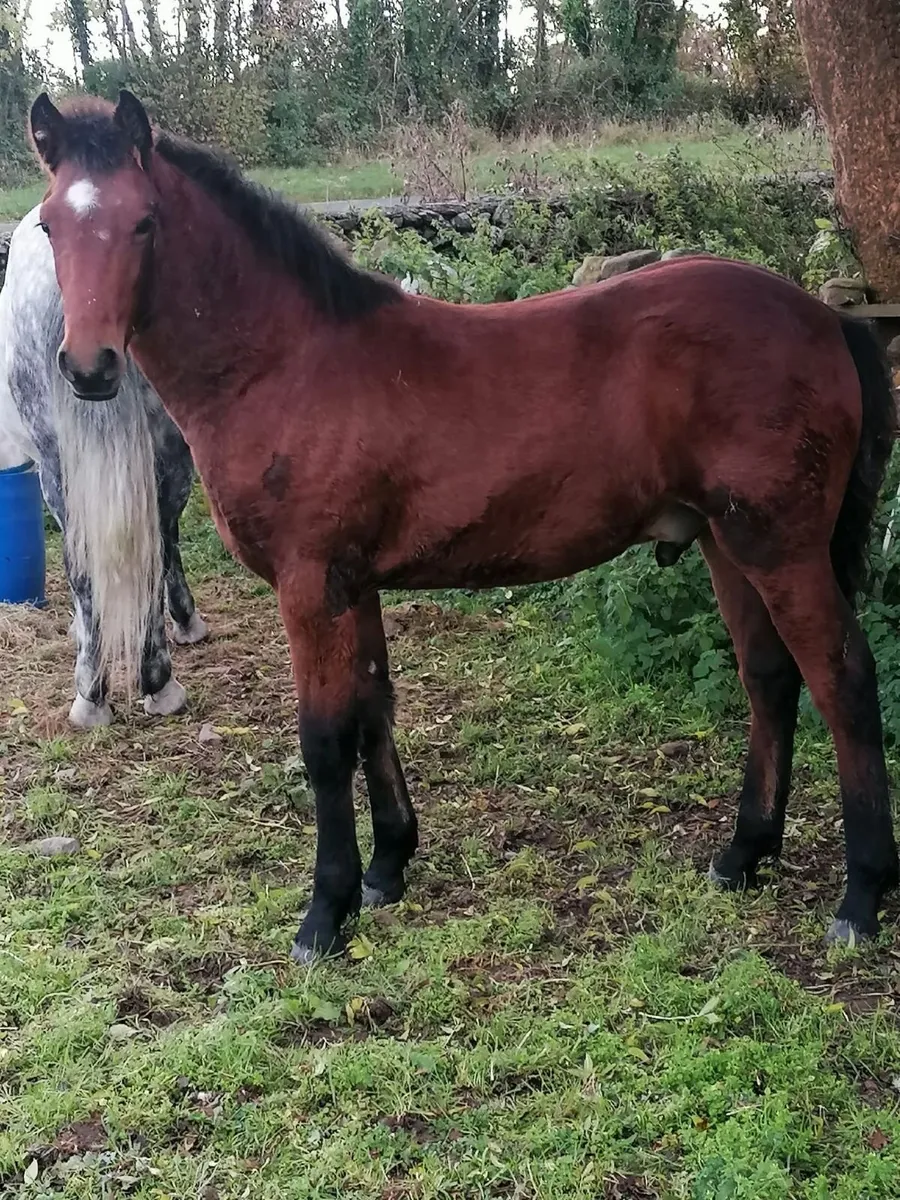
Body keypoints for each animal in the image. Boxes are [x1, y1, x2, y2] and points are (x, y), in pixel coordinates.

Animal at [28, 89, 898, 962]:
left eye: (144, 222)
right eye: (49, 225)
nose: (89, 368)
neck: (286, 365)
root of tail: (827, 320)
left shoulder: (309, 585)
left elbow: (324, 739)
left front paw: (324, 912)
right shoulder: (354, 582)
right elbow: (373, 708)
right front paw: (386, 868)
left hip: (782, 548)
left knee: (844, 681)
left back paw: (861, 897)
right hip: (727, 542)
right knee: (771, 677)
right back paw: (744, 853)